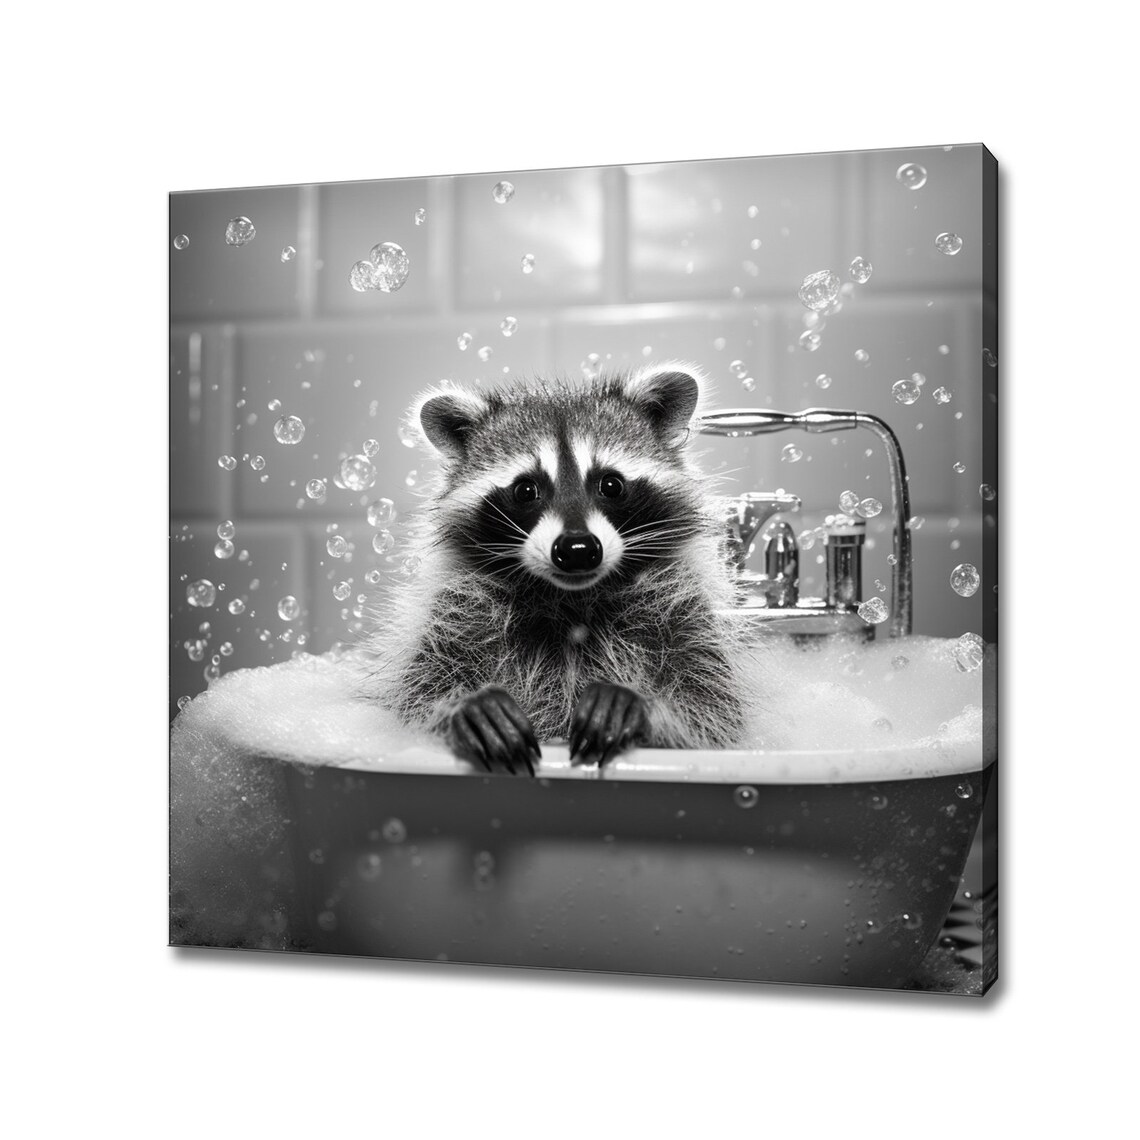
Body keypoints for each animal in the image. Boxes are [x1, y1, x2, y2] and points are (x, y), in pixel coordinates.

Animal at [357, 362, 748, 775]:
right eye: (525, 490)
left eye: (611, 484)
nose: (577, 550)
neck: (571, 599)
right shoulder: (457, 610)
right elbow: (418, 696)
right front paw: (462, 705)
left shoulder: (682, 608)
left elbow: (711, 706)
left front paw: (643, 707)